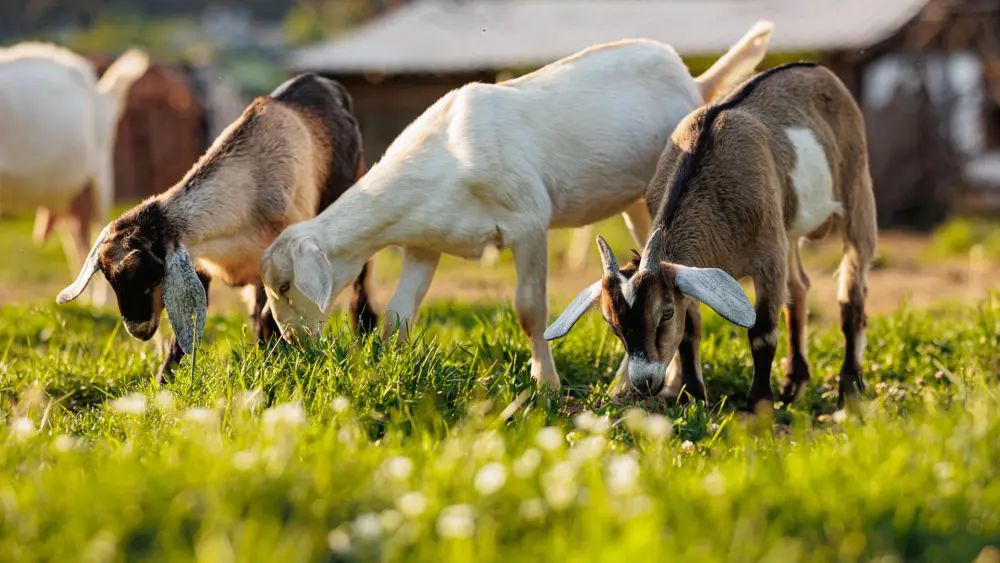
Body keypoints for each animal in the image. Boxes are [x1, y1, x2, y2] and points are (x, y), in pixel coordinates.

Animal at [0, 43, 149, 304]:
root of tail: (101, 93)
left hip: (100, 171)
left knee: (99, 228)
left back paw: (101, 302)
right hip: (70, 199)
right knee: (78, 241)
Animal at [56, 73, 378, 382]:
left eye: (151, 276)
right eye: (111, 280)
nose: (138, 330)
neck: (247, 189)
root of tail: (322, 82)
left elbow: (269, 316)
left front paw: (276, 365)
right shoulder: (202, 264)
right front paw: (165, 381)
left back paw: (364, 330)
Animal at [258, 22, 774, 392]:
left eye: (284, 285)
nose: (293, 343)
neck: (446, 156)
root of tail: (697, 81)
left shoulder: (528, 222)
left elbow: (530, 309)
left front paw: (545, 385)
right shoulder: (425, 242)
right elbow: (398, 316)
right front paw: (387, 372)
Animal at [545, 62, 878, 411]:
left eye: (665, 314)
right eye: (612, 324)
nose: (644, 383)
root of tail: (817, 70)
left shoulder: (769, 257)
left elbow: (762, 333)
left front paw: (758, 406)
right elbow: (690, 332)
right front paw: (692, 397)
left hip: (856, 192)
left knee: (852, 294)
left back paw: (849, 388)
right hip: (788, 226)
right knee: (798, 288)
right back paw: (793, 384)